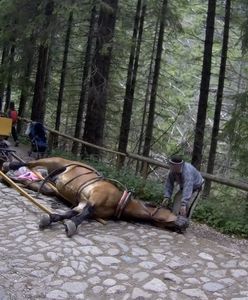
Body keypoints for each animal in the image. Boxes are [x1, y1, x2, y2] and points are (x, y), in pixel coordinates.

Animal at [1, 157, 189, 237]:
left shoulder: (81, 204)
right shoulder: (93, 199)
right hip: (51, 161)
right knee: (28, 162)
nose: (185, 223)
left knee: (29, 180)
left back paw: (11, 180)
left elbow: (70, 213)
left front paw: (52, 218)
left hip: (49, 185)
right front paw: (72, 225)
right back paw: (8, 165)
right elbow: (85, 213)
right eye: (170, 211)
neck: (120, 201)